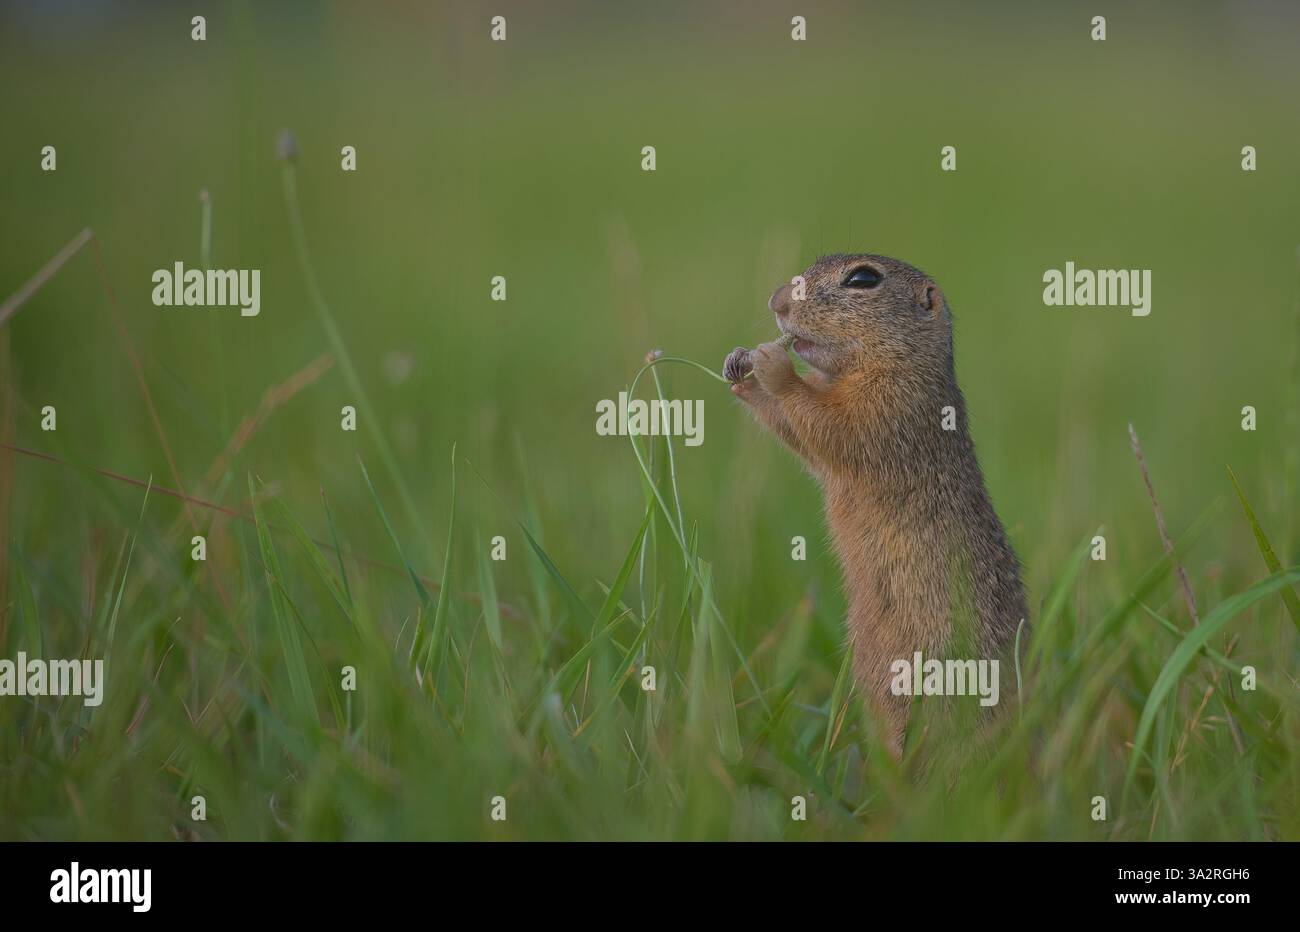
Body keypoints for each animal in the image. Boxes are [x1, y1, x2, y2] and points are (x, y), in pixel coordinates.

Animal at [724, 253, 1027, 757]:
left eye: (862, 278)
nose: (776, 302)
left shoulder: (892, 404)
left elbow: (833, 424)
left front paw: (772, 362)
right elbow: (800, 432)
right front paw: (739, 366)